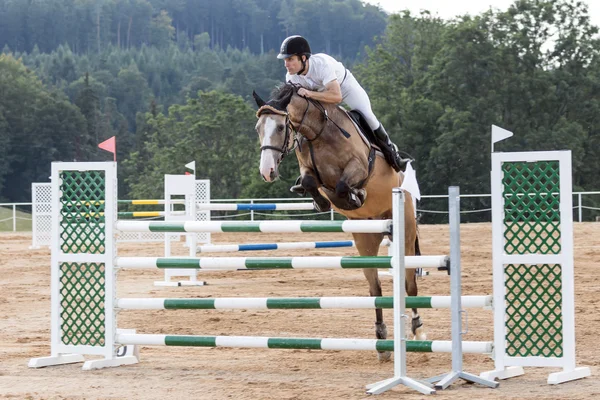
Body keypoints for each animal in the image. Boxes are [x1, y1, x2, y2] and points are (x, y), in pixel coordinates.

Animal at [253, 83, 426, 360]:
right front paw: (326, 202)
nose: (267, 171)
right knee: (375, 289)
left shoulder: (359, 167)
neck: (317, 134)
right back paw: (381, 339)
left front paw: (355, 196)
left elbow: (345, 184)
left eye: (280, 127)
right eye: (258, 128)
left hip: (405, 230)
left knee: (409, 283)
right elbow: (311, 182)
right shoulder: (309, 171)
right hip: (366, 239)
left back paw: (418, 329)